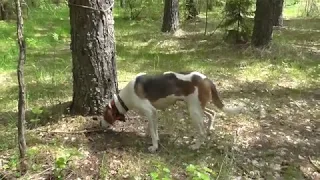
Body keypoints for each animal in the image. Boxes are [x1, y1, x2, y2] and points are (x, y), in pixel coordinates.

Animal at [100, 71, 242, 153]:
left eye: (103, 115)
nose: (99, 124)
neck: (124, 98)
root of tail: (206, 79)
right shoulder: (153, 113)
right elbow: (153, 129)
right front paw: (153, 138)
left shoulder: (150, 111)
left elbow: (152, 131)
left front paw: (154, 147)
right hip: (195, 106)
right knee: (212, 113)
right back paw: (210, 128)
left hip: (194, 111)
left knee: (201, 132)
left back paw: (196, 146)